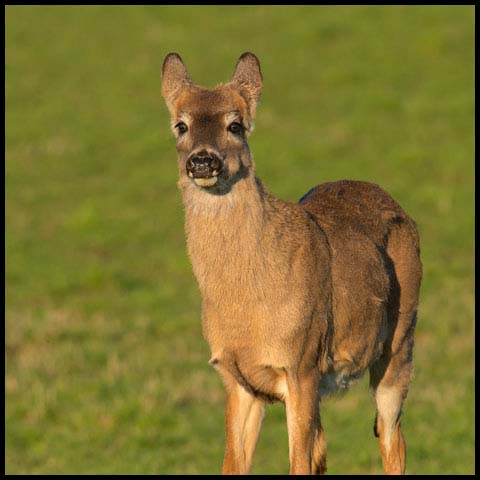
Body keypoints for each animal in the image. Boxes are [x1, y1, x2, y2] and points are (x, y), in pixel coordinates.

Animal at [160, 50, 420, 474]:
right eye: (180, 125)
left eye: (236, 124)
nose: (202, 161)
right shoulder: (238, 378)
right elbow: (236, 464)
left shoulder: (302, 364)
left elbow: (297, 462)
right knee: (328, 450)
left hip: (400, 342)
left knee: (392, 438)